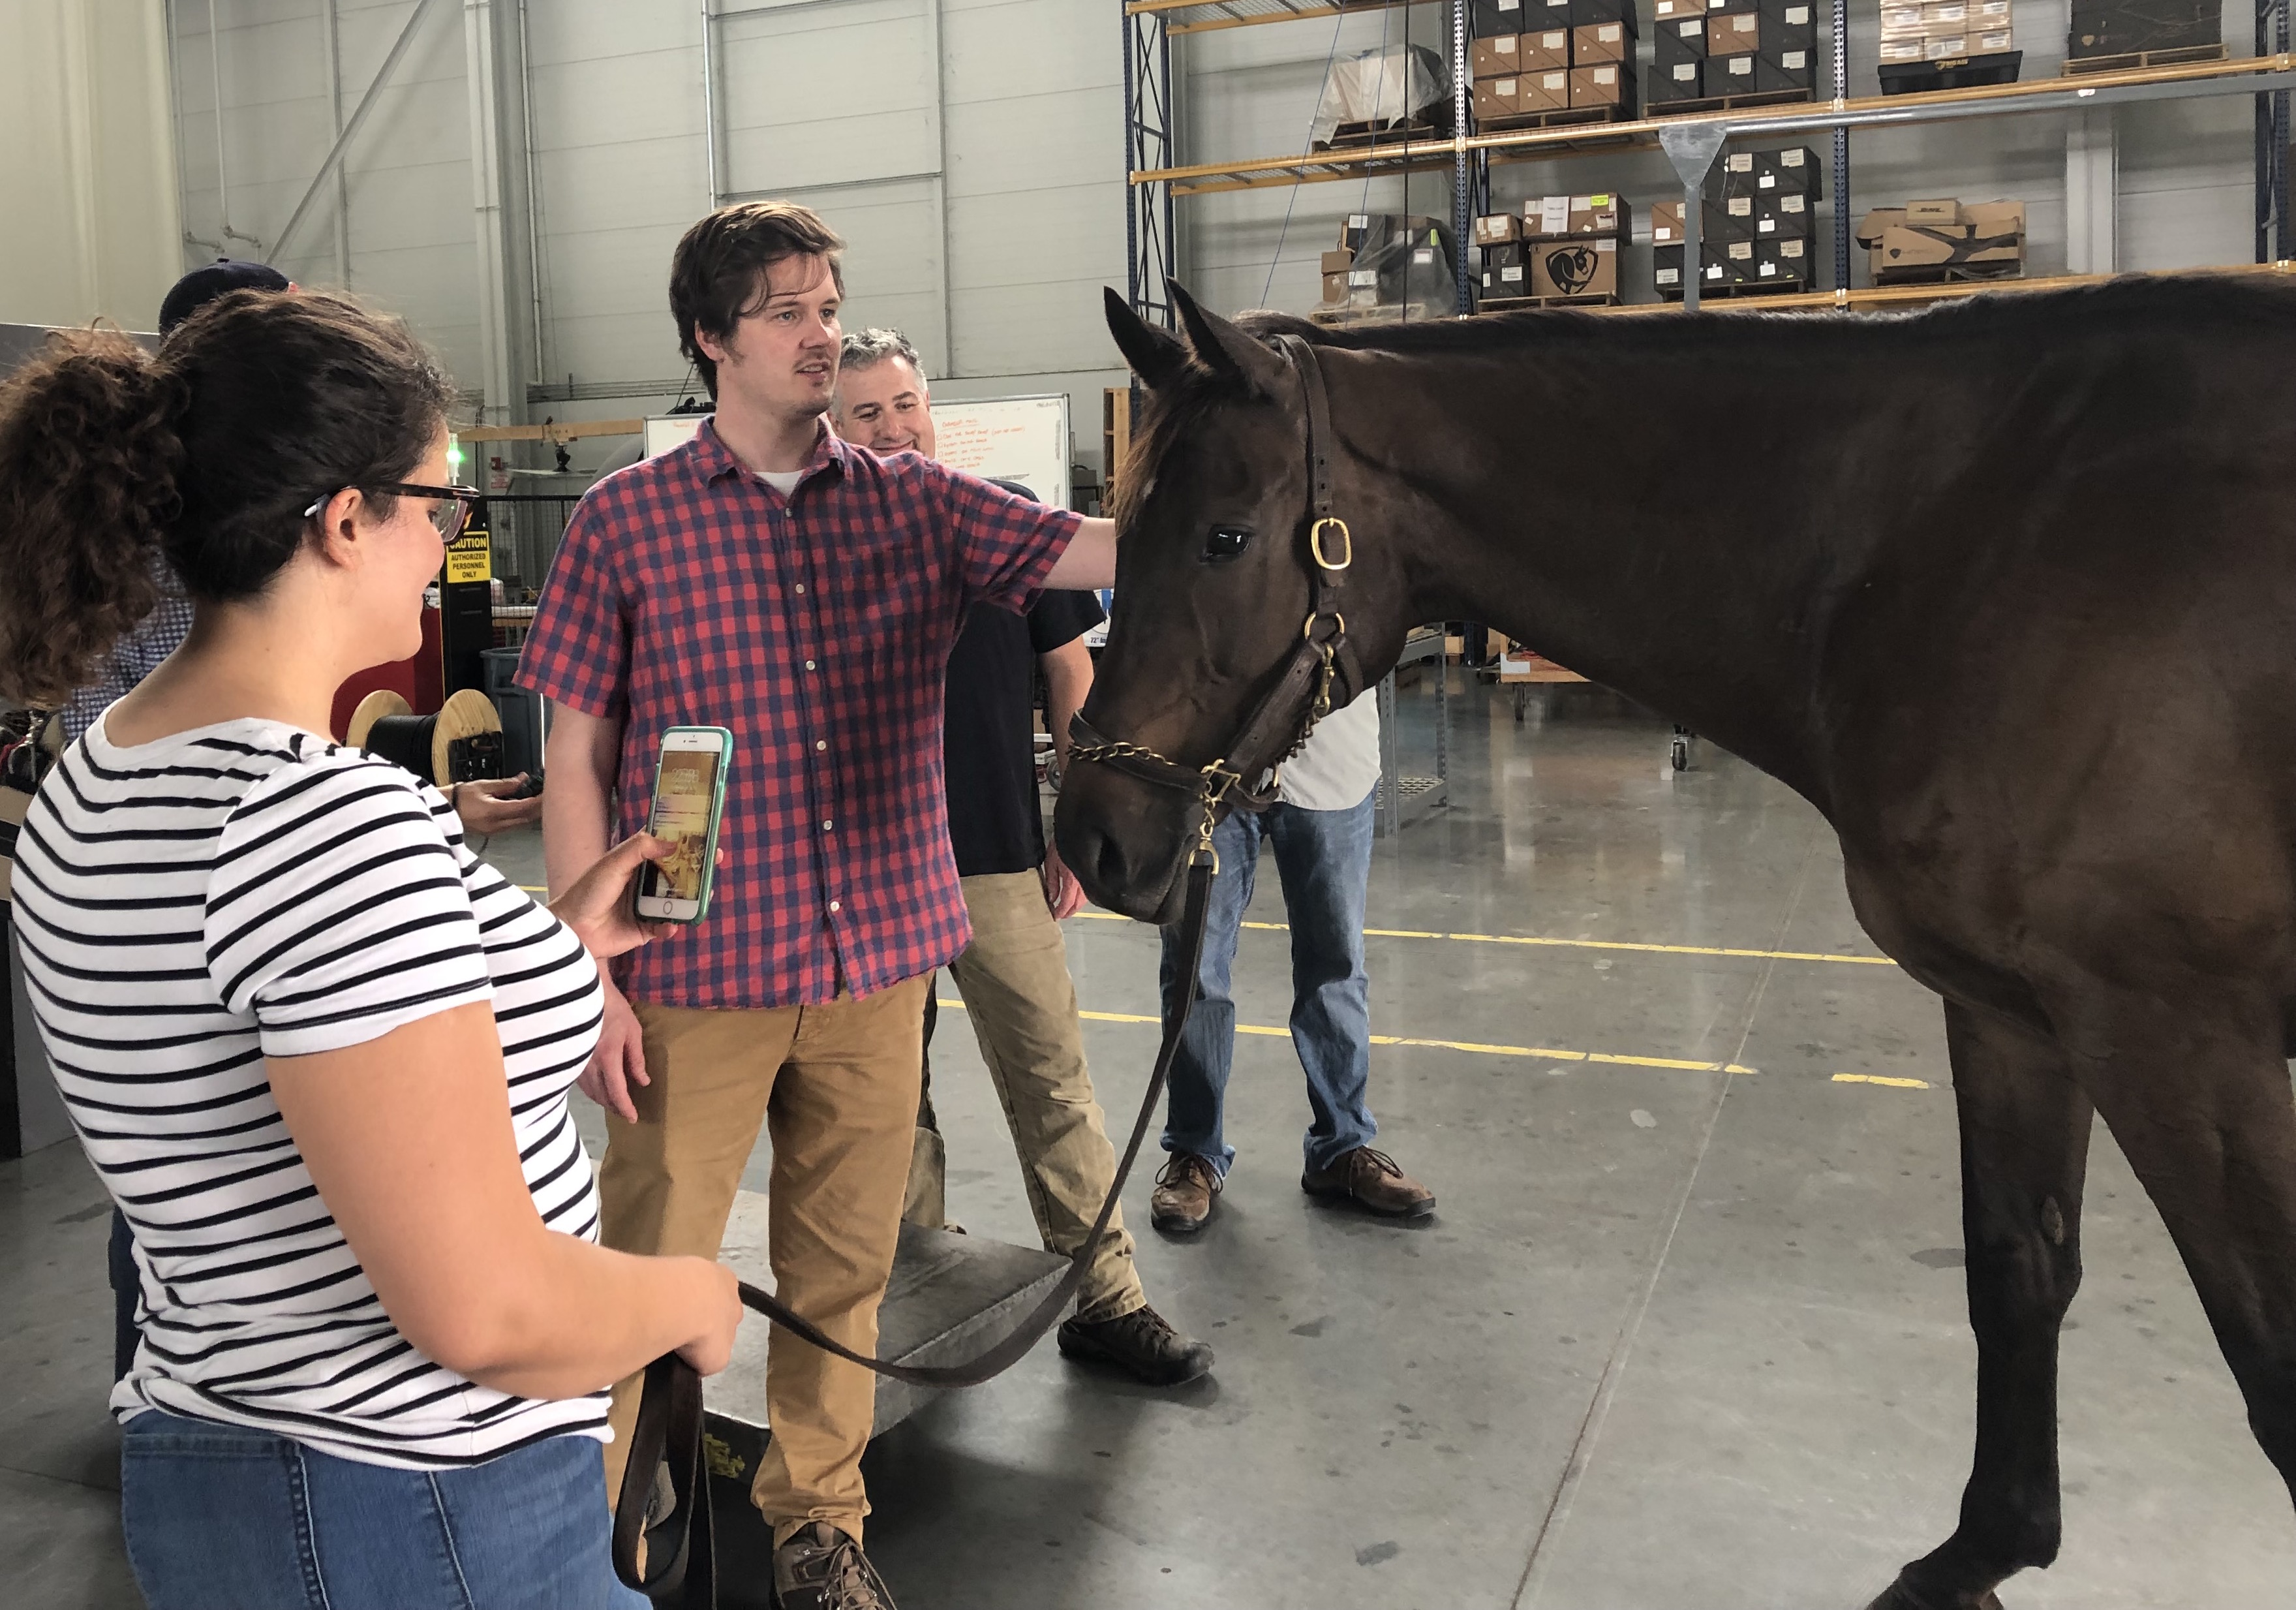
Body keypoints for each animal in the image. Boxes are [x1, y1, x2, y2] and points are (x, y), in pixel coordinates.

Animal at [1056, 282, 2296, 1598]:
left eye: (1224, 538)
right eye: (1116, 536)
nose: (1088, 834)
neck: (1948, 547)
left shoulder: (2171, 1037)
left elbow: (2269, 1370)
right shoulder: (2012, 1012)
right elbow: (2017, 1268)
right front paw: (1979, 1549)